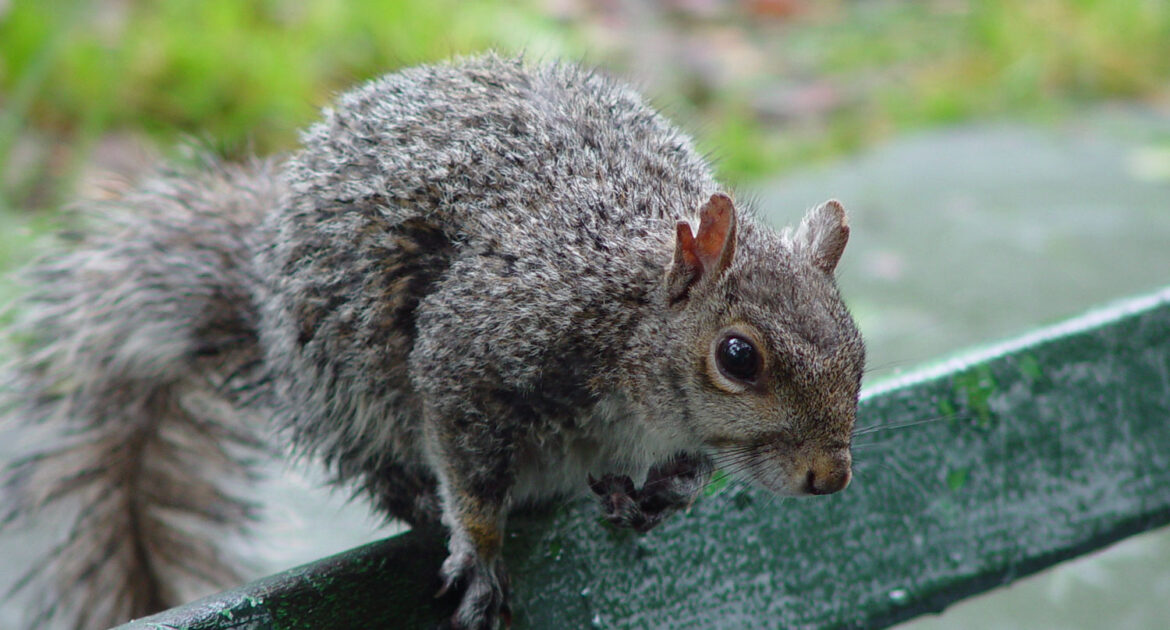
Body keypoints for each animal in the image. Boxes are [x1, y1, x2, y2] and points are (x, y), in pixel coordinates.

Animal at [0, 55, 861, 627]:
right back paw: (421, 498)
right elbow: (468, 468)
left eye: (855, 348)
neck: (625, 308)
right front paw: (479, 552)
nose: (831, 477)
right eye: (737, 358)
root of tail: (263, 303)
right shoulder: (476, 351)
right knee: (375, 463)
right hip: (347, 390)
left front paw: (674, 488)